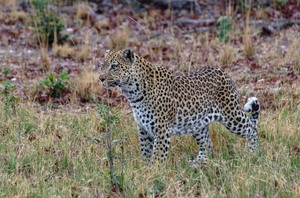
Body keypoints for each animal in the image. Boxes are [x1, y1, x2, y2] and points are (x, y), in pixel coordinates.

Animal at [99, 48, 258, 166]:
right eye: (103, 65)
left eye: (114, 66)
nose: (100, 78)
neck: (133, 93)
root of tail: (223, 71)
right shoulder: (143, 128)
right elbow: (145, 151)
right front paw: (145, 170)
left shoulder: (161, 129)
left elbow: (158, 156)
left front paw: (155, 173)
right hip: (198, 124)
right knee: (207, 145)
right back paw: (196, 164)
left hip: (231, 116)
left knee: (252, 128)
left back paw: (253, 154)